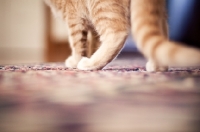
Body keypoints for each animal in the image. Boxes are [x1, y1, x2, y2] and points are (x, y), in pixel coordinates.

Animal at [44, 0, 200, 71]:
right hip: (158, 13)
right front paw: (90, 53)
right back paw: (158, 66)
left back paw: (91, 64)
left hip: (102, 8)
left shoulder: (74, 18)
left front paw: (76, 60)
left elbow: (77, 43)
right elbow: (93, 43)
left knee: (117, 33)